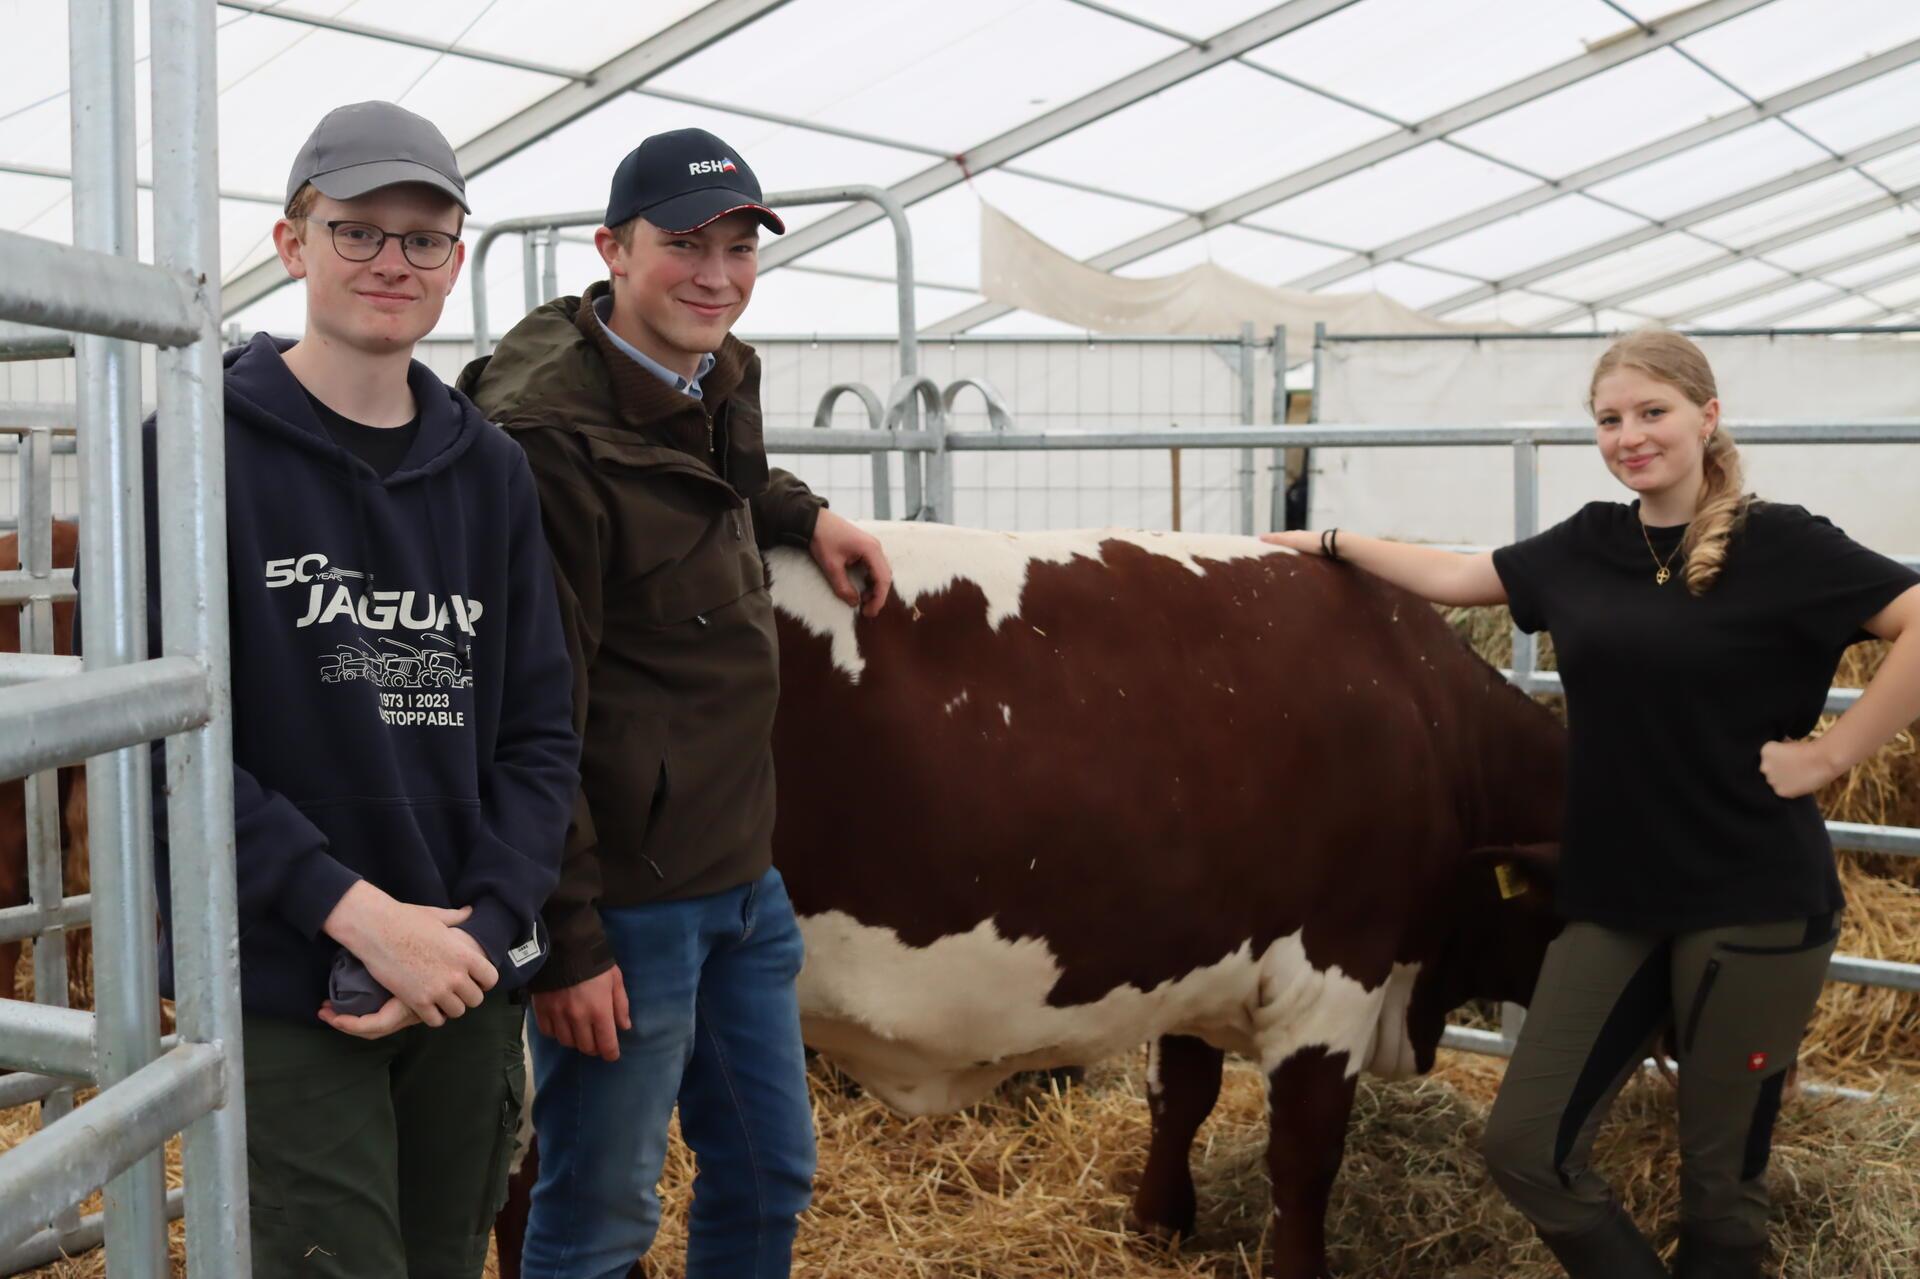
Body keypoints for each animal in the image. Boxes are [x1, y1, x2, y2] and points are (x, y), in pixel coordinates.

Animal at [495, 522, 1559, 1275]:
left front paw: (1159, 1223)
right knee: (529, 1192)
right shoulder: (1336, 967)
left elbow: (1181, 1093)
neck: (1427, 718)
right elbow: (1304, 1155)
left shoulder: (1205, 946)